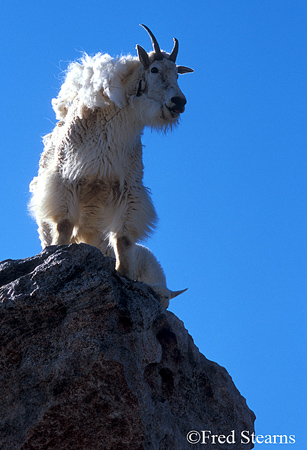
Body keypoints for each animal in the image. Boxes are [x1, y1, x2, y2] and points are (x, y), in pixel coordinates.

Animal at [28, 22, 192, 300]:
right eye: (154, 69)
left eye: (178, 75)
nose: (178, 102)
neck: (114, 129)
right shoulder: (67, 180)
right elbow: (63, 224)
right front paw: (59, 253)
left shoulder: (127, 188)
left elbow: (124, 238)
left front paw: (124, 274)